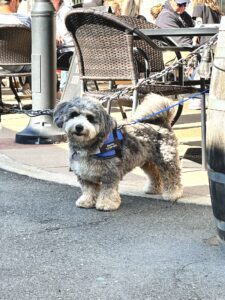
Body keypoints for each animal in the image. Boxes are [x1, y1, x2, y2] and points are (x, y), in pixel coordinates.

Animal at [54, 94, 183, 211]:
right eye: (73, 114)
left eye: (90, 118)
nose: (79, 127)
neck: (91, 146)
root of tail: (162, 123)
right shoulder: (84, 174)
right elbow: (89, 190)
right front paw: (86, 201)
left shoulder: (110, 173)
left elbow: (108, 191)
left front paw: (106, 204)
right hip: (147, 161)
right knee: (154, 174)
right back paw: (153, 189)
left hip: (167, 159)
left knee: (172, 175)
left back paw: (173, 193)